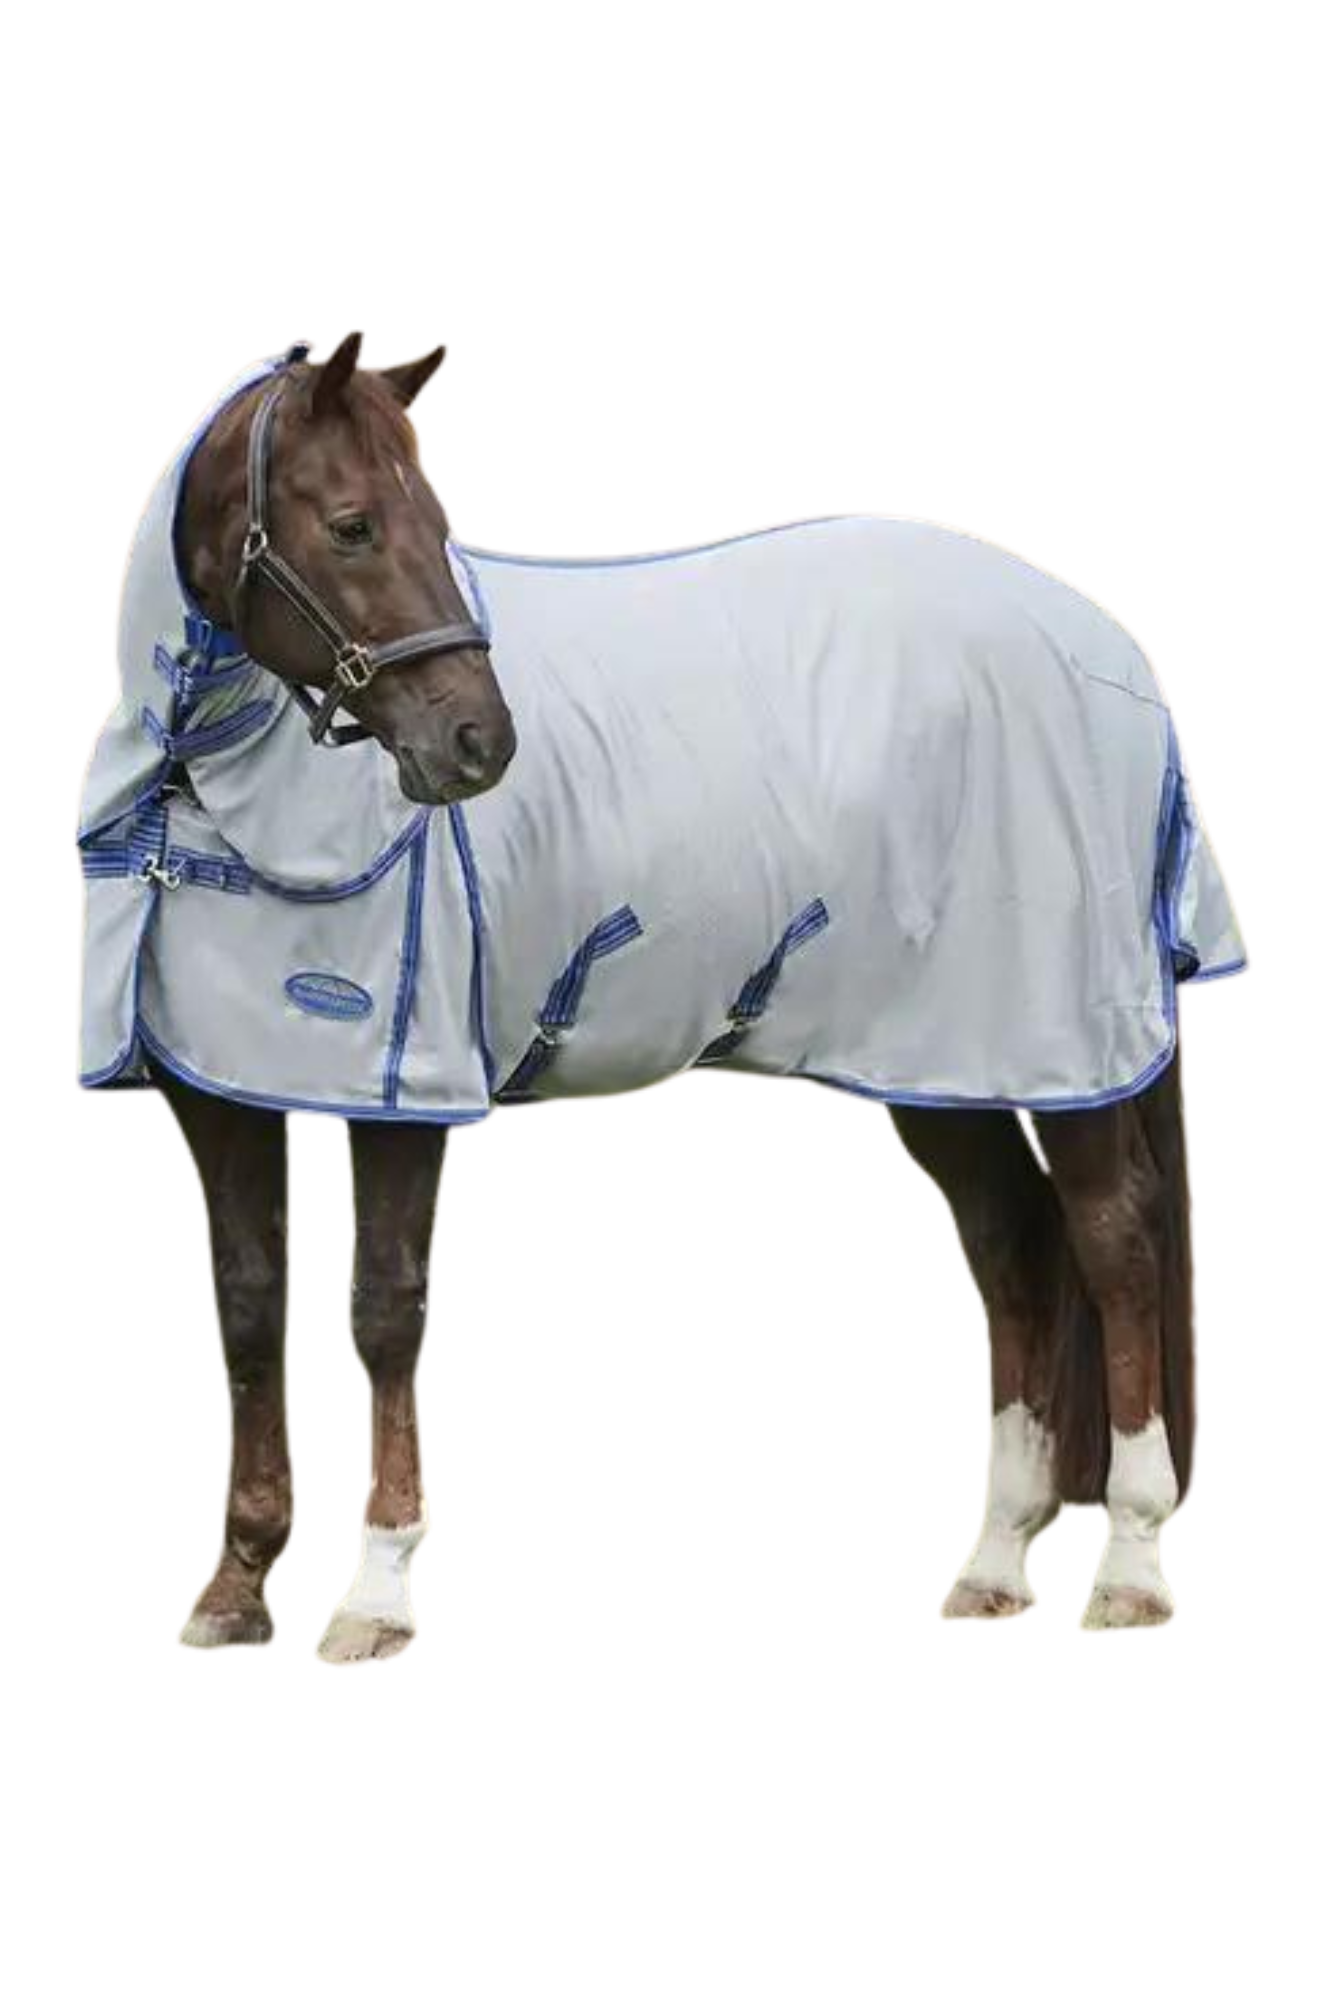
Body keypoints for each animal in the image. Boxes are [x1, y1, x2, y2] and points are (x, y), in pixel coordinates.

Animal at [76, 331, 1248, 1660]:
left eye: (435, 520)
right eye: (352, 525)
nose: (479, 746)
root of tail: (1106, 637)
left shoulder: (406, 1088)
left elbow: (382, 1309)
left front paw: (374, 1593)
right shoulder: (221, 1090)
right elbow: (246, 1307)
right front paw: (235, 1586)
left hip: (1060, 1039)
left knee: (1117, 1243)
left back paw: (1130, 1572)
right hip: (945, 1059)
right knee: (1009, 1255)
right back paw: (994, 1564)